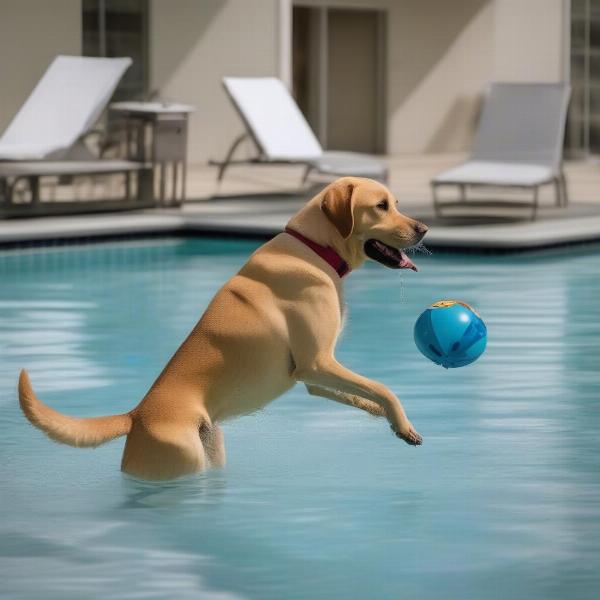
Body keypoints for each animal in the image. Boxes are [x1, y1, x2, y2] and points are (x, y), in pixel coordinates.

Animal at [18, 176, 426, 480]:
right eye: (381, 206)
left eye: (396, 202)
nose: (423, 229)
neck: (313, 248)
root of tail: (135, 416)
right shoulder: (318, 362)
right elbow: (385, 387)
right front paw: (403, 422)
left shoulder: (313, 374)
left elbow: (362, 392)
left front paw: (384, 418)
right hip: (181, 461)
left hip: (210, 449)